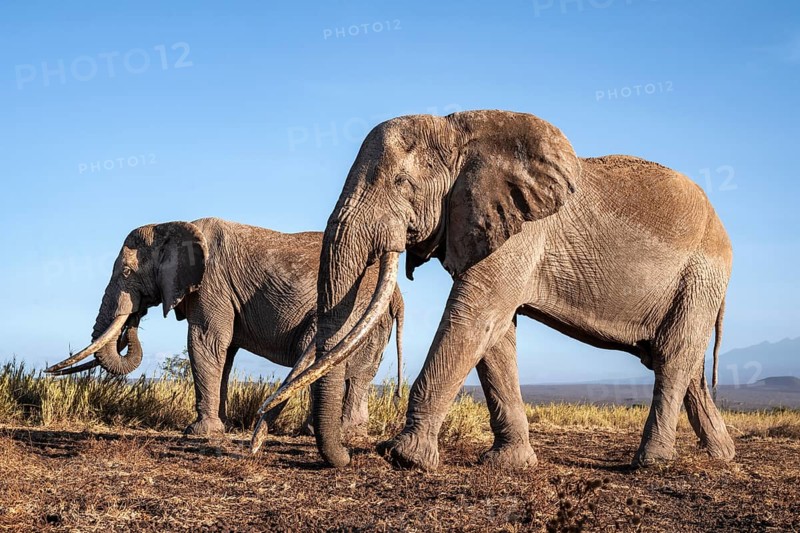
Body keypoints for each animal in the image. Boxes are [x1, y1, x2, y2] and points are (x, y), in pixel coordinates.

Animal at [46, 217, 404, 438]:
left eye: (126, 273)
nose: (134, 318)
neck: (172, 224)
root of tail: (397, 297)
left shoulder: (211, 284)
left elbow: (205, 343)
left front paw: (199, 433)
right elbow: (225, 353)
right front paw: (224, 426)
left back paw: (329, 433)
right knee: (357, 373)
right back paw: (338, 432)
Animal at [260, 110, 735, 471]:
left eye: (401, 184)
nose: (346, 457)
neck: (459, 132)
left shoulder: (520, 232)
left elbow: (473, 317)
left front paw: (403, 458)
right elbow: (496, 335)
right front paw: (509, 464)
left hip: (701, 276)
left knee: (673, 357)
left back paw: (651, 464)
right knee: (684, 363)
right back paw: (722, 456)